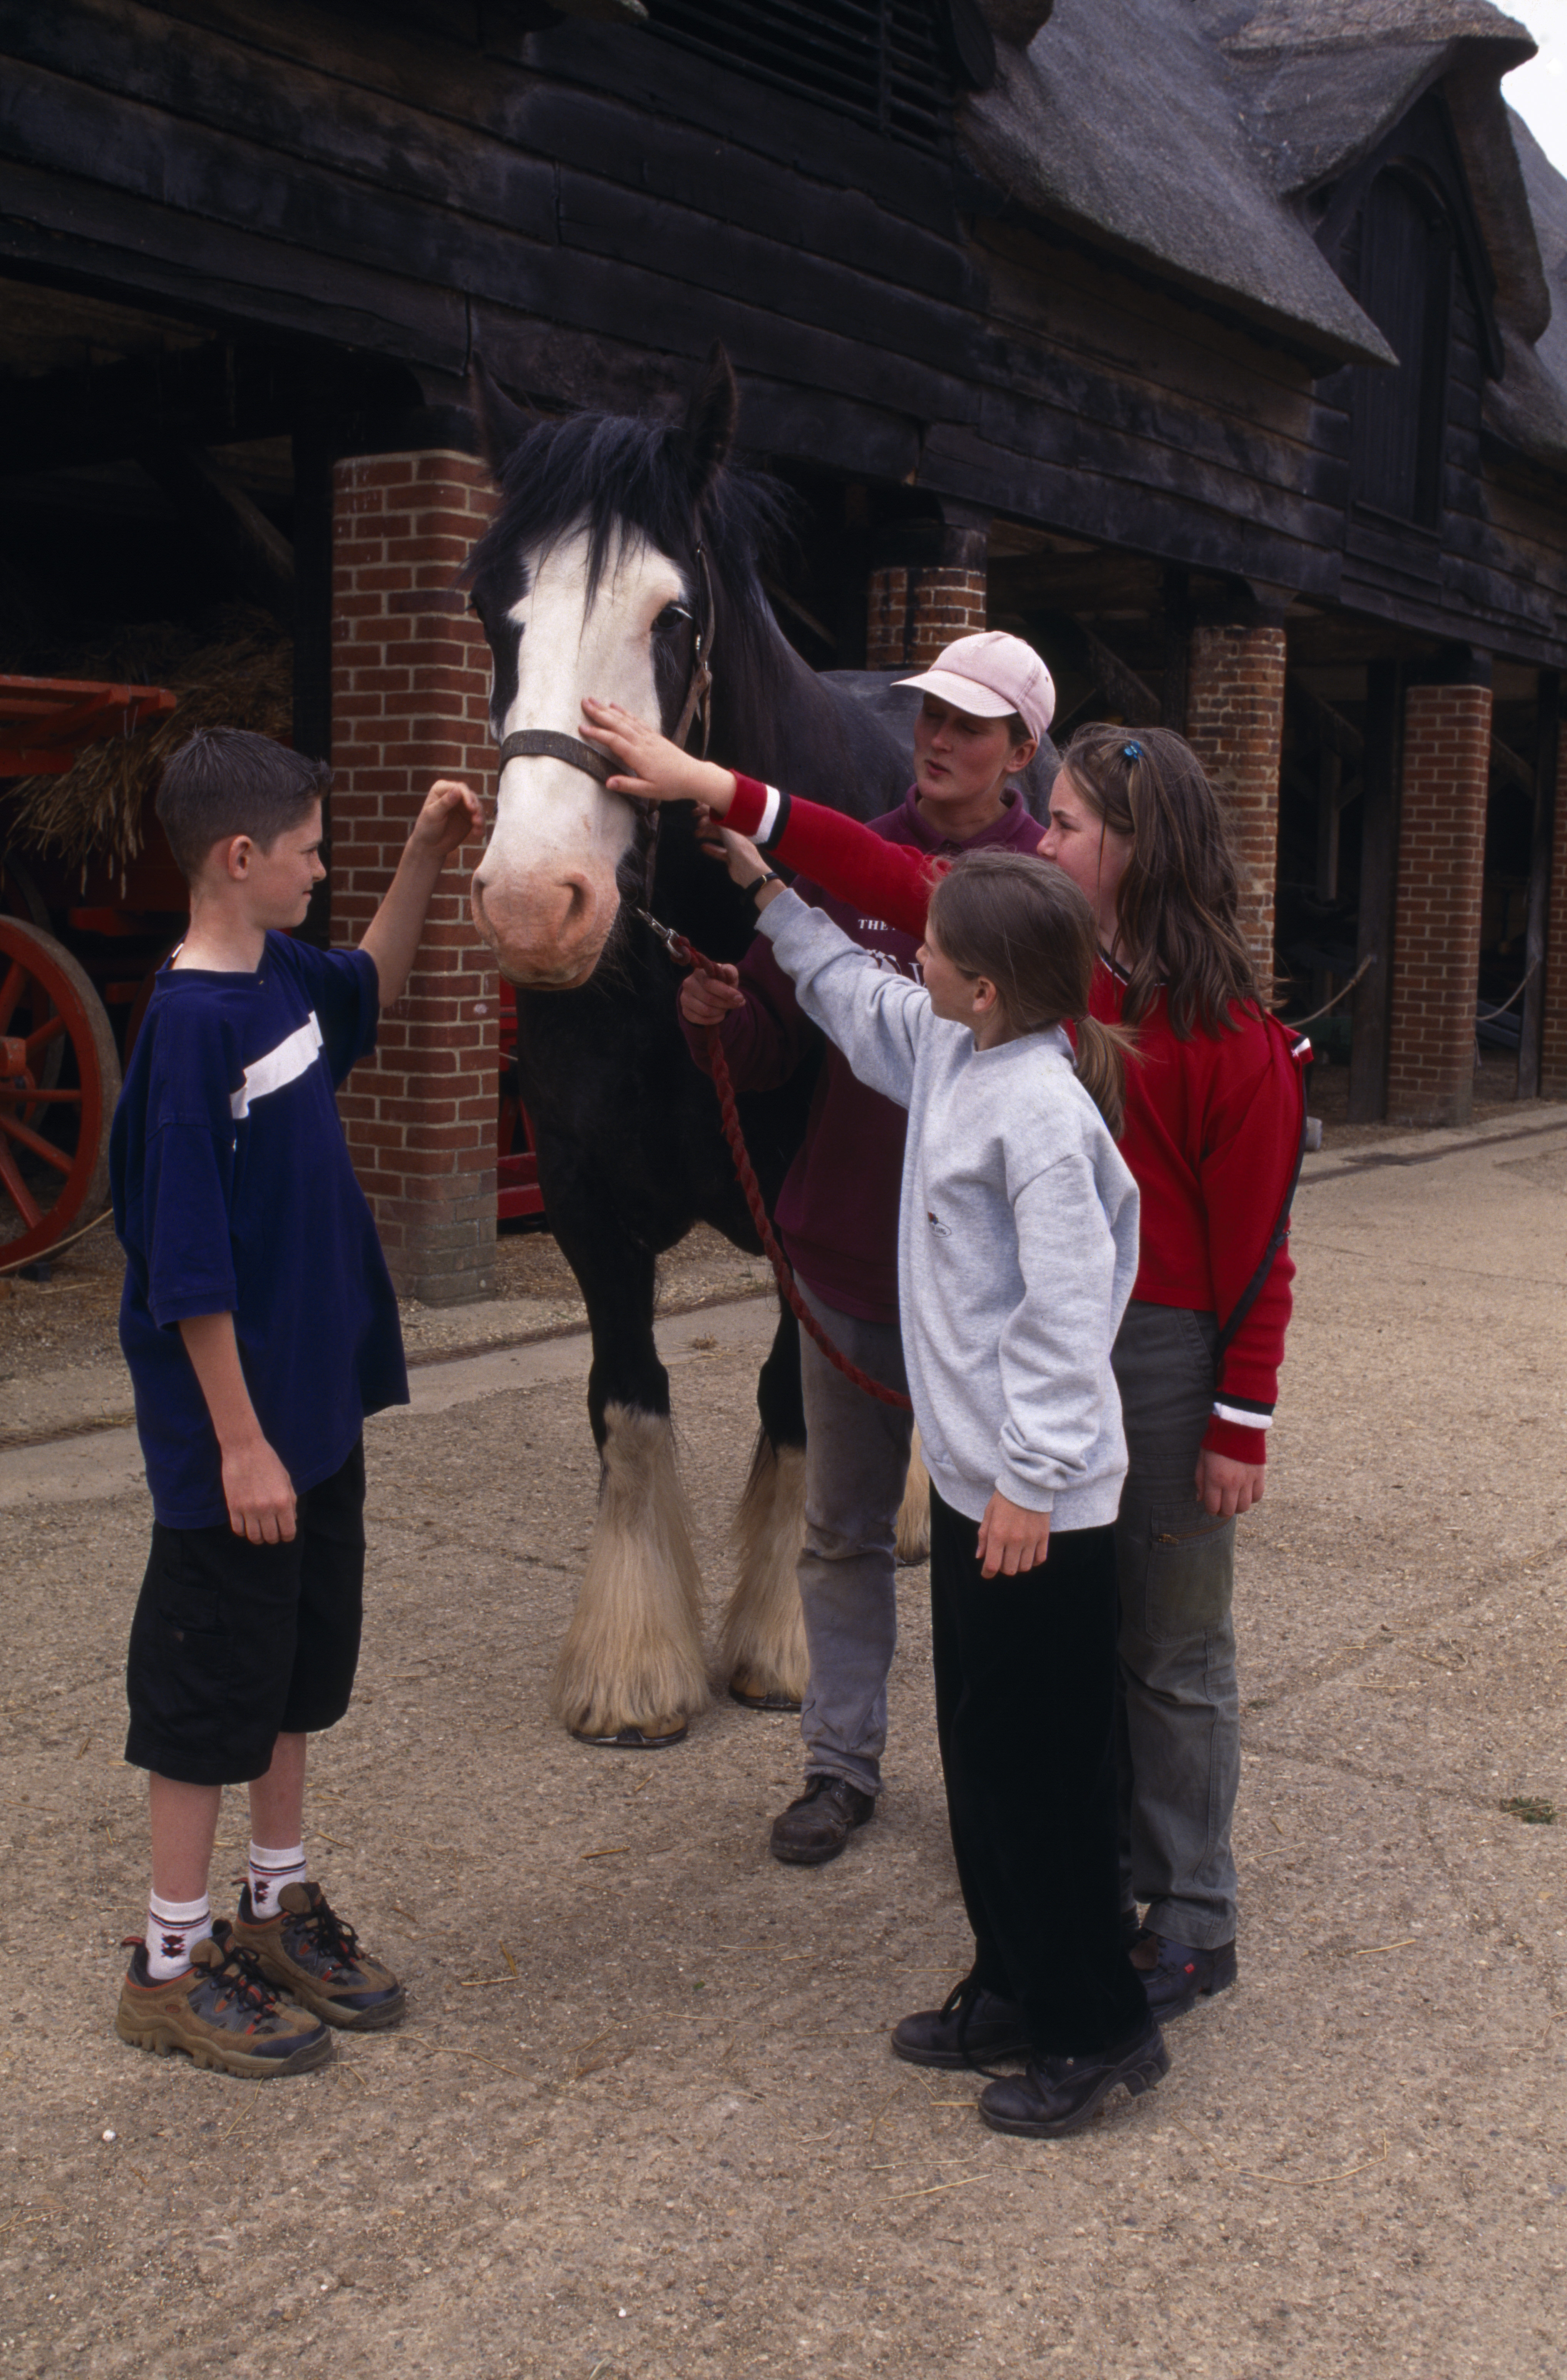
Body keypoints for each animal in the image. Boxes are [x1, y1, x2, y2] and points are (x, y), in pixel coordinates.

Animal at [459, 345, 1038, 1742]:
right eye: (493, 606)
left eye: (672, 616)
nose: (534, 901)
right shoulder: (585, 1201)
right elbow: (628, 1399)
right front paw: (632, 1665)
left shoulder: (803, 1211)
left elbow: (791, 1401)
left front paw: (783, 1638)